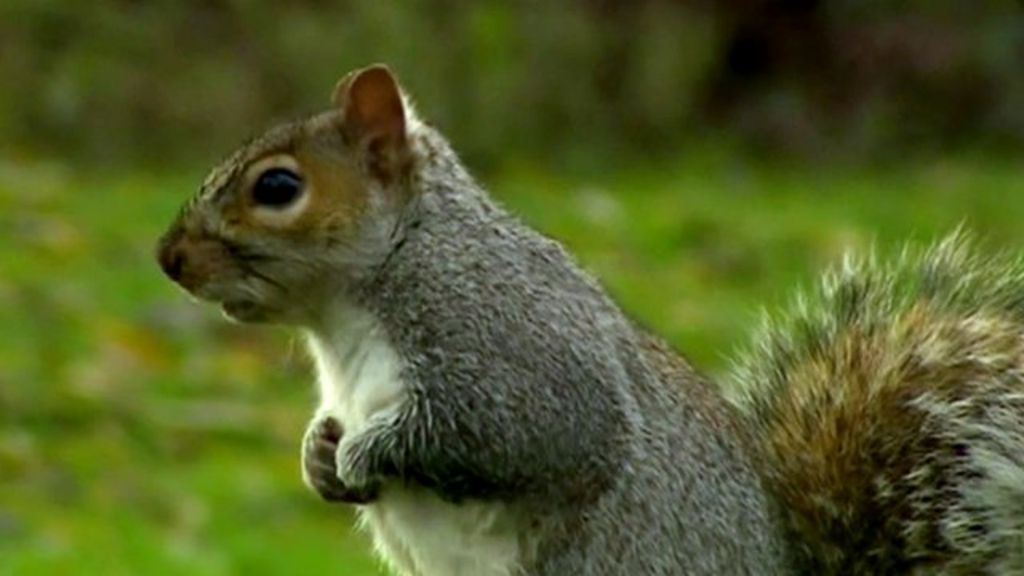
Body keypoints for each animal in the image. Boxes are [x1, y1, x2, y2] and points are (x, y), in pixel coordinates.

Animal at [156, 64, 1024, 575]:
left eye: (278, 188)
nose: (169, 258)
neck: (346, 315)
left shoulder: (506, 340)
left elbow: (526, 430)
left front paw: (366, 454)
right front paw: (320, 455)